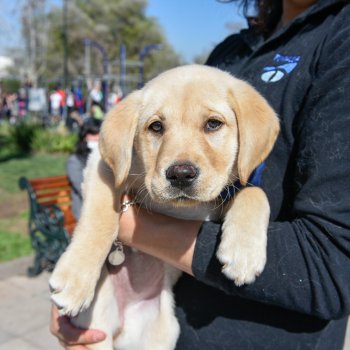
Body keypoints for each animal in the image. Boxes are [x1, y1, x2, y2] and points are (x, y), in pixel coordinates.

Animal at [49, 64, 280, 348]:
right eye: (156, 127)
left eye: (213, 124)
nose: (180, 174)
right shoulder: (102, 166)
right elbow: (101, 216)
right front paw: (74, 279)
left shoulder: (213, 204)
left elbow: (254, 191)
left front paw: (244, 253)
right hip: (97, 324)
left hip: (163, 332)